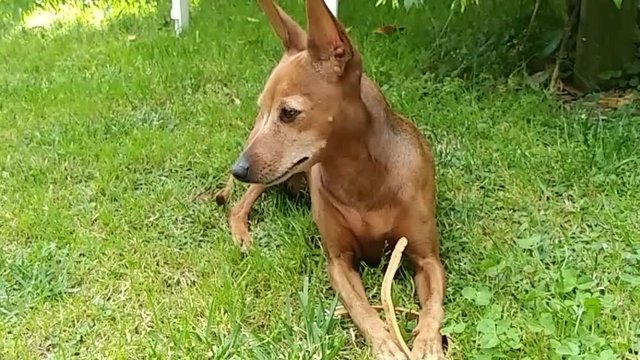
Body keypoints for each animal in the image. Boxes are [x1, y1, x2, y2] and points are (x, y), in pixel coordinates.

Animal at [225, 1, 444, 358]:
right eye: (265, 108)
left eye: (289, 113)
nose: (238, 170)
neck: (363, 180)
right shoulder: (339, 262)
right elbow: (362, 309)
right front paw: (386, 344)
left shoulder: (427, 258)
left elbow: (434, 306)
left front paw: (427, 342)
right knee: (237, 205)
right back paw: (242, 236)